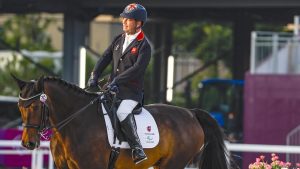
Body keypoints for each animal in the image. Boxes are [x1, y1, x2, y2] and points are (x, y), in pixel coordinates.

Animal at [12, 76, 230, 169]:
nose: (27, 143)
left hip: (174, 163)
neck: (75, 123)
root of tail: (191, 113)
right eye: (20, 107)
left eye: (35, 106)